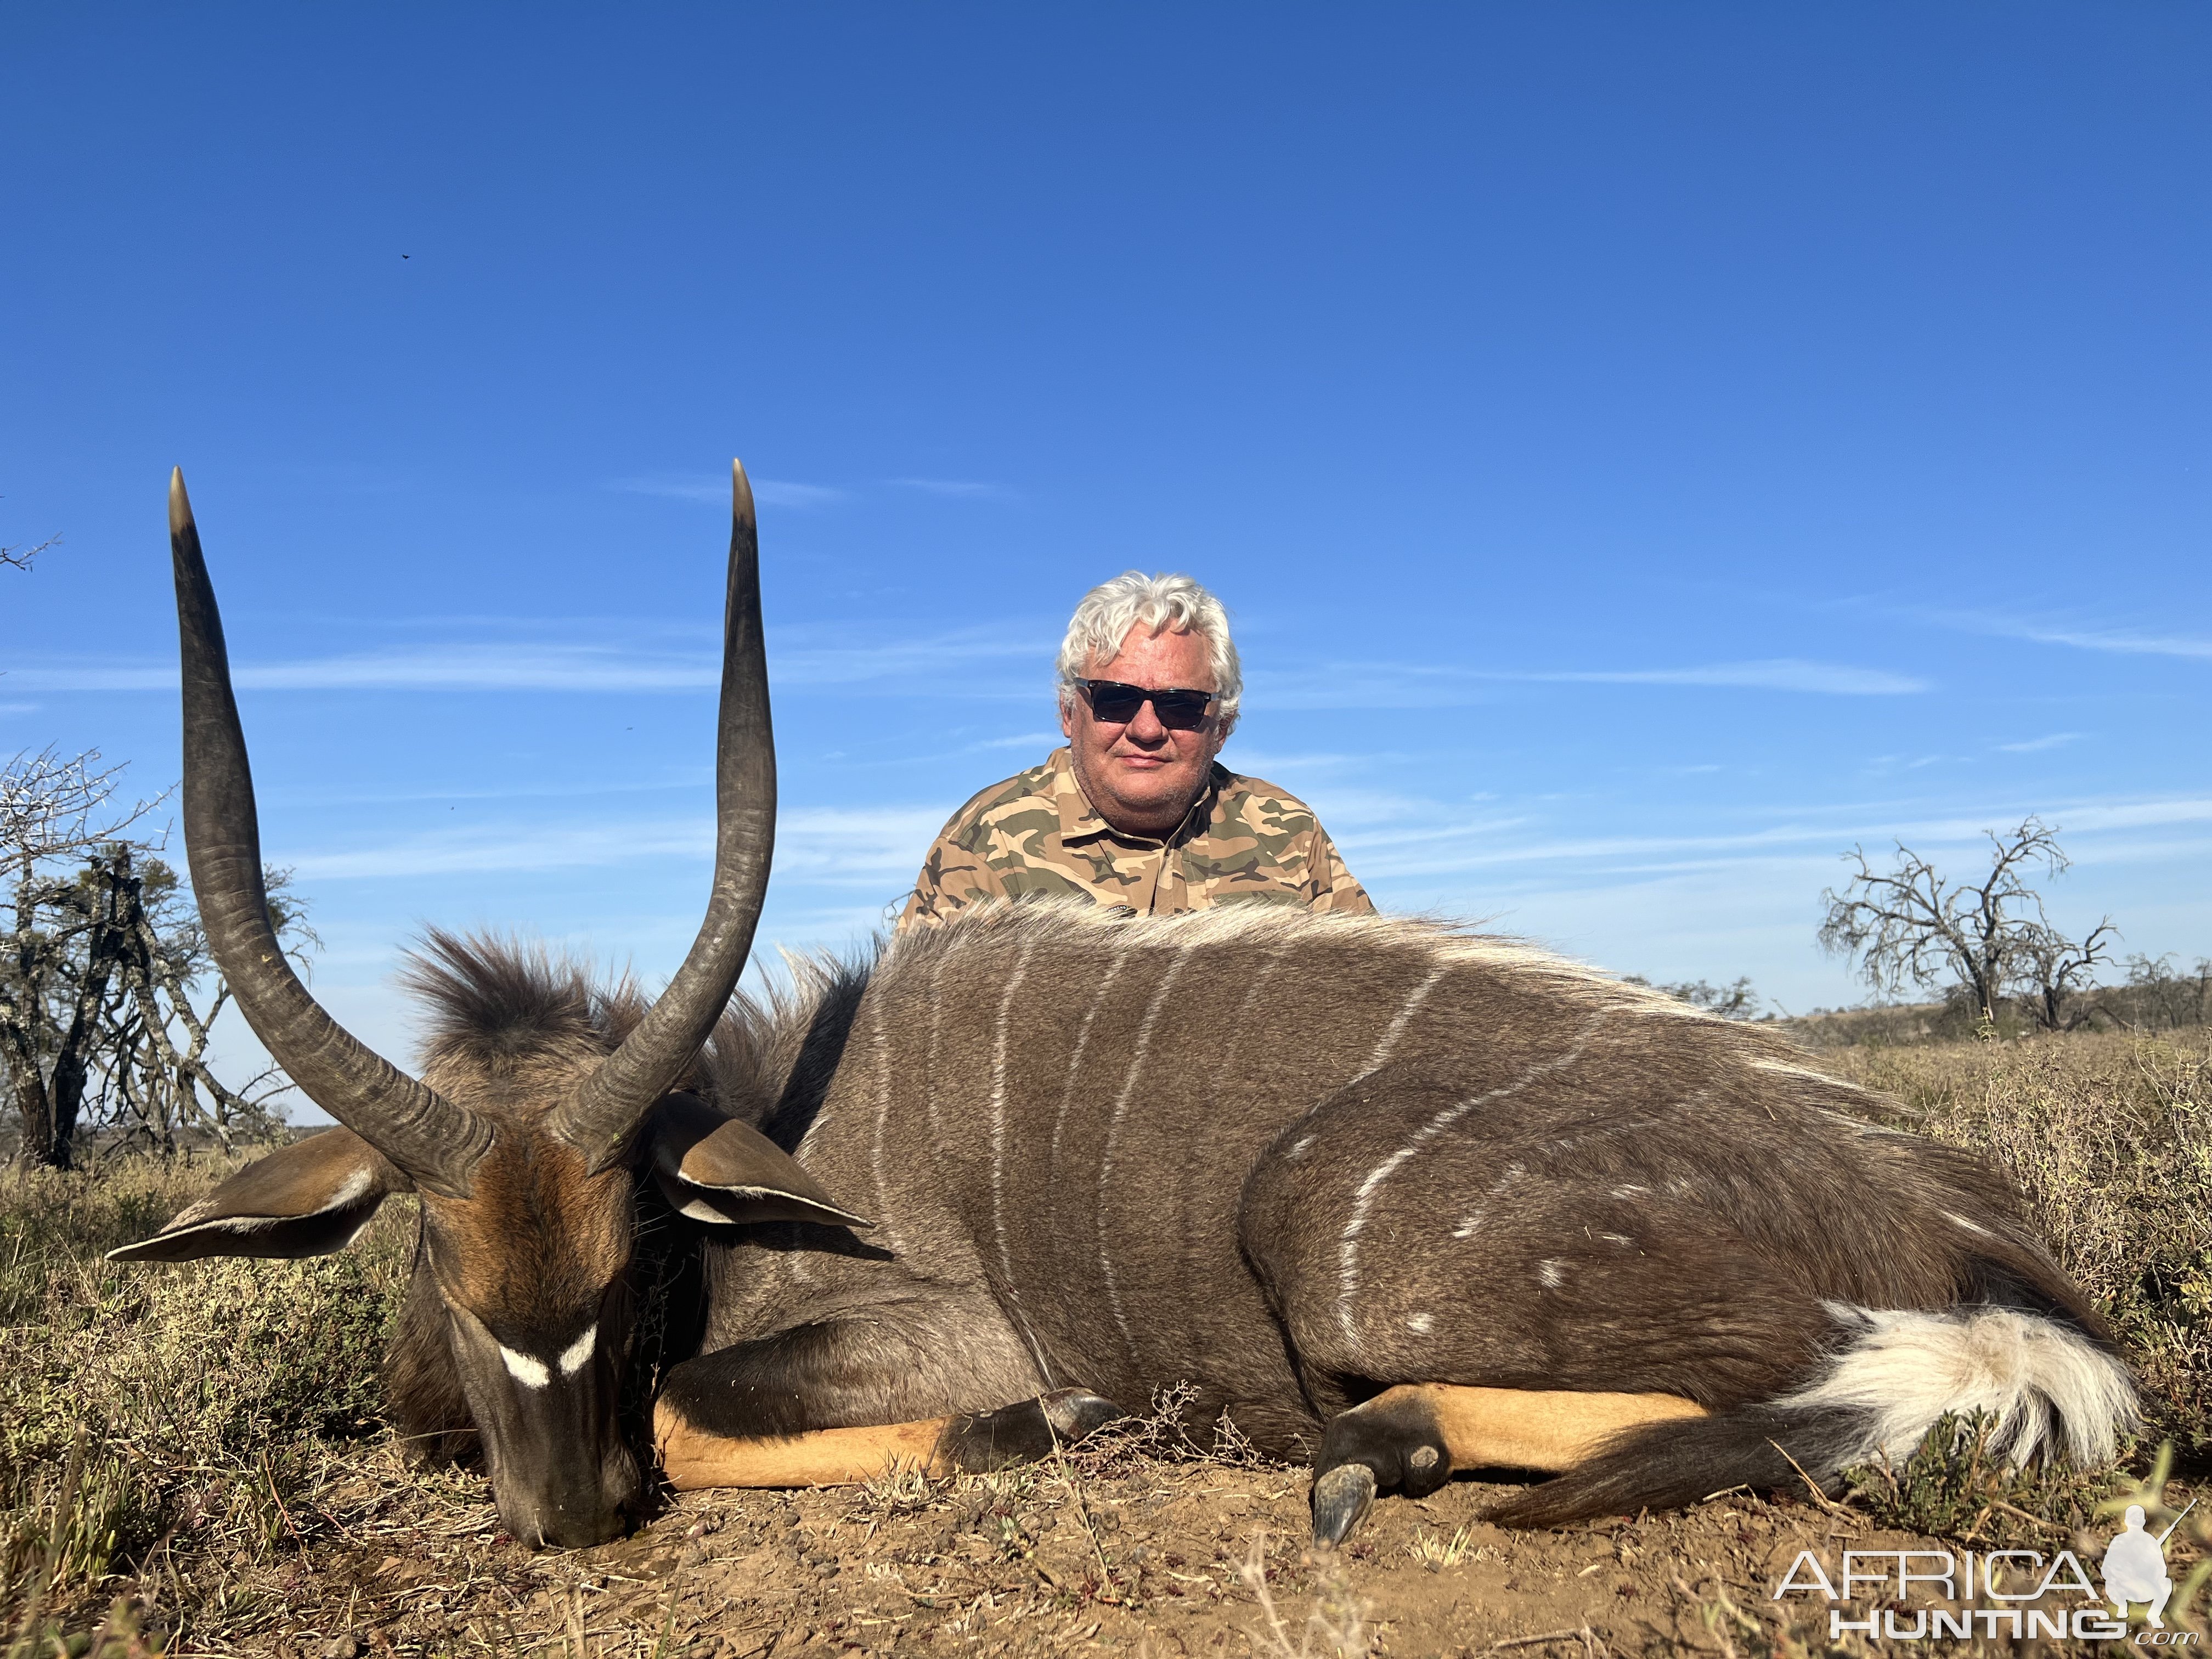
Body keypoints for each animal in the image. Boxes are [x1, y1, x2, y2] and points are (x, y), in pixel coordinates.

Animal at [116, 462, 2123, 1557]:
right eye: (434, 1257)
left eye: (629, 1256)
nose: (563, 1510)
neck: (760, 1138)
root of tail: (1963, 1237)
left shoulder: (939, 1331)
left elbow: (699, 1406)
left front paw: (1050, 1428)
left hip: (1331, 1231)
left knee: (1775, 1389)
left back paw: (1356, 1448)